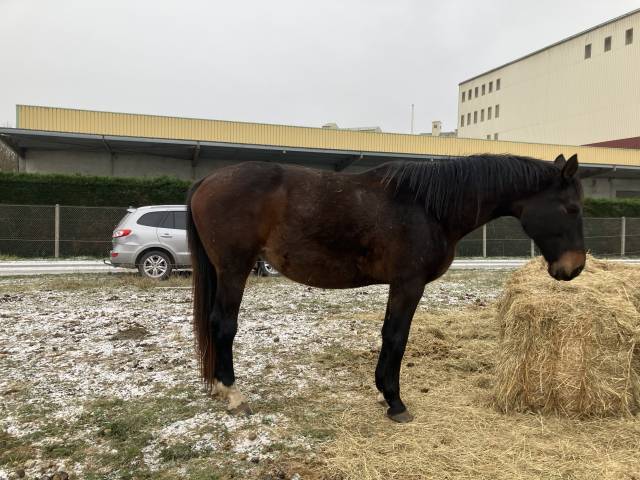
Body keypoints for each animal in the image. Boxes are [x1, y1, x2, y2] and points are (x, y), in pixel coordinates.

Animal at [186, 153, 585, 423]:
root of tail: (206, 181)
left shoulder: (400, 284)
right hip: (234, 269)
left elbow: (390, 335)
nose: (575, 267)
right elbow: (396, 336)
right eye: (570, 208)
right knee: (223, 325)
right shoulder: (408, 284)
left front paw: (384, 394)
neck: (427, 207)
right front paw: (395, 401)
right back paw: (233, 393)